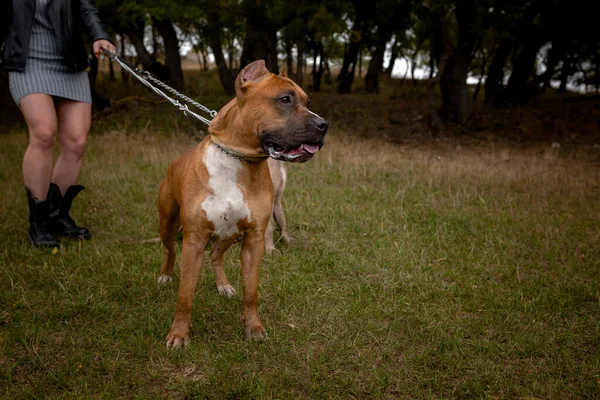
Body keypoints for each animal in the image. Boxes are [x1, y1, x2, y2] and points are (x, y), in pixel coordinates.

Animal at [157, 60, 328, 350]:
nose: (324, 124)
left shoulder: (253, 239)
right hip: (169, 225)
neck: (237, 159)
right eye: (285, 99)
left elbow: (251, 291)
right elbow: (185, 295)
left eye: (308, 101)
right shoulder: (194, 241)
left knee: (216, 255)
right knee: (170, 250)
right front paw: (179, 333)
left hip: (229, 234)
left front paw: (253, 327)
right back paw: (166, 275)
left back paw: (223, 285)